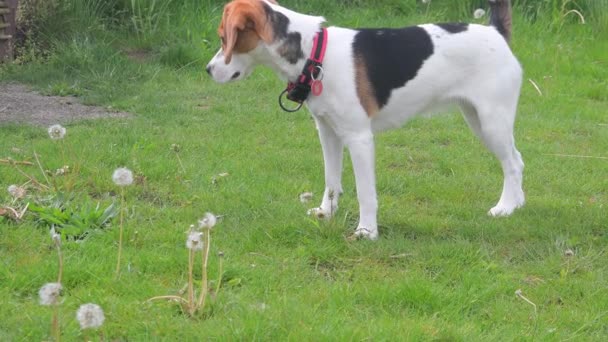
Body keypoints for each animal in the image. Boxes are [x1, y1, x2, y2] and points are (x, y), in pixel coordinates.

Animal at [208, 0, 524, 240]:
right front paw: (325, 213)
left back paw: (504, 208)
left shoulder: (359, 139)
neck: (315, 54)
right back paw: (517, 204)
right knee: (517, 160)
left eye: (224, 38)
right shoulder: (328, 132)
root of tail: (495, 32)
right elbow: (331, 181)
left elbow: (365, 192)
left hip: (491, 122)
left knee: (511, 164)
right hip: (477, 120)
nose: (208, 70)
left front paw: (367, 231)